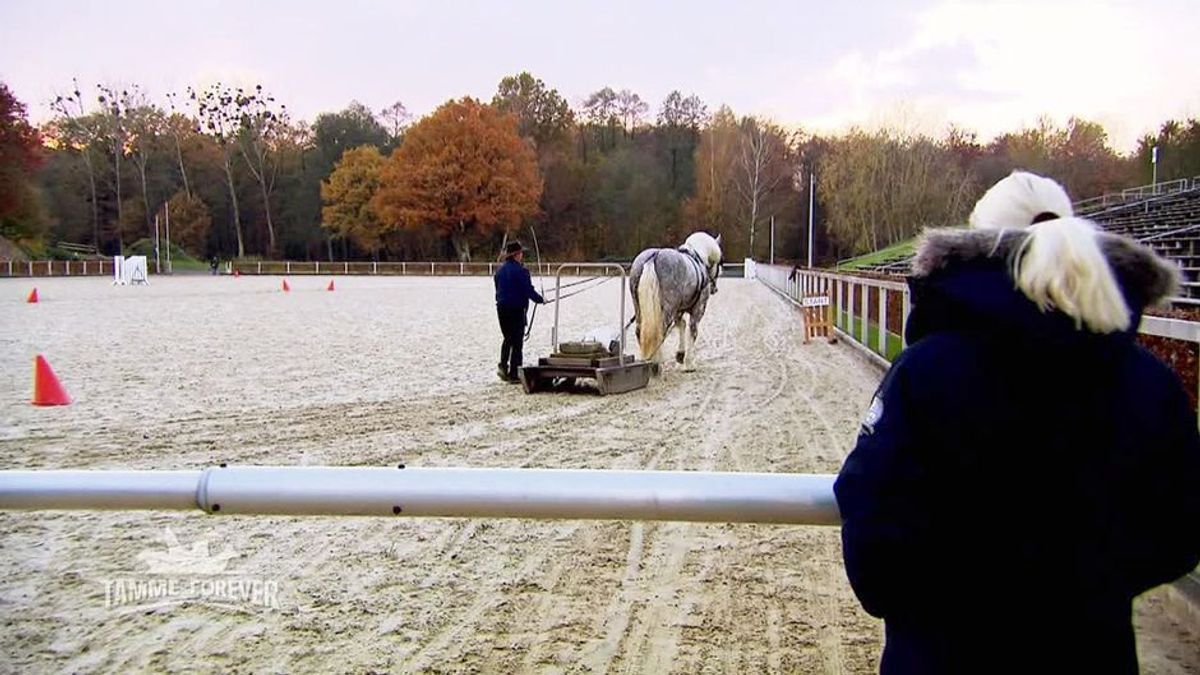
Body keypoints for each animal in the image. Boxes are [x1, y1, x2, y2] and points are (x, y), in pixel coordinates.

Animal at [628, 229, 720, 367]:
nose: (714, 289)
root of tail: (654, 256)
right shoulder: (698, 309)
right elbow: (693, 330)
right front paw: (689, 363)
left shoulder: (678, 309)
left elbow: (681, 324)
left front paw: (680, 355)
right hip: (668, 309)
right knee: (660, 333)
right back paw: (657, 363)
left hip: (639, 307)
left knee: (640, 330)